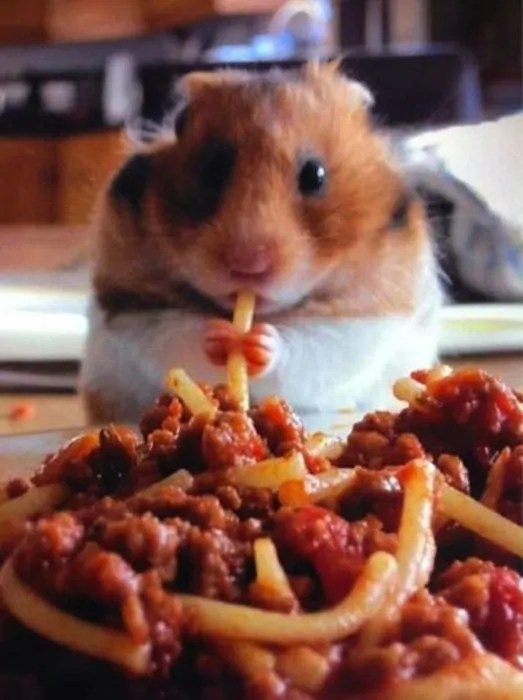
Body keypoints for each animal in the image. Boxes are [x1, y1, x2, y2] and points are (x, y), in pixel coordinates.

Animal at [80, 61, 441, 423]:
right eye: (211, 171)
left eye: (314, 175)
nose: (247, 267)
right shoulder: (132, 305)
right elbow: (178, 335)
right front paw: (217, 336)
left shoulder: (369, 313)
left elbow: (315, 345)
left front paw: (261, 343)